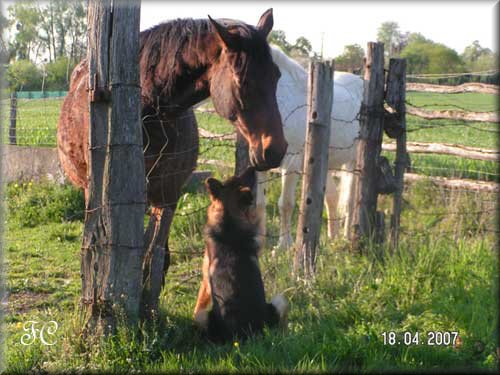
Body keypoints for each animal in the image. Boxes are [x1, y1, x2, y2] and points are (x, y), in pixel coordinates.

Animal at [57, 8, 288, 280]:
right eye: (242, 81)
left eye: (276, 76)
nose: (274, 150)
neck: (150, 109)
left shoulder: (169, 192)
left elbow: (154, 256)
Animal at [195, 169, 290, 346]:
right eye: (238, 177)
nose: (253, 168)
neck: (229, 220)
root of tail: (245, 334)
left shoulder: (205, 280)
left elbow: (199, 301)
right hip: (278, 303)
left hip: (203, 317)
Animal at [256, 47, 366, 251]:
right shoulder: (260, 164)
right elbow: (259, 202)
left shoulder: (291, 162)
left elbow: (286, 204)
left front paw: (283, 246)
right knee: (332, 197)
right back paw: (333, 237)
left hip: (353, 162)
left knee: (349, 200)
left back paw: (346, 237)